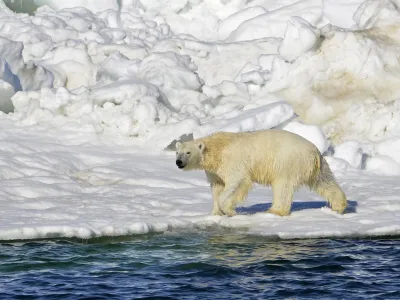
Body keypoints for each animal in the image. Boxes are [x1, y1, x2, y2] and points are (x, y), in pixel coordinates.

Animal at [175, 129, 346, 216]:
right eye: (177, 152)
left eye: (188, 152)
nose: (179, 162)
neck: (217, 148)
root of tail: (315, 152)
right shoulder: (214, 171)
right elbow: (217, 187)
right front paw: (216, 213)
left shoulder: (233, 161)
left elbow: (237, 182)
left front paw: (228, 210)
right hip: (316, 166)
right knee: (325, 181)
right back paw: (339, 205)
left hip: (287, 162)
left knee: (282, 186)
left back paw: (275, 210)